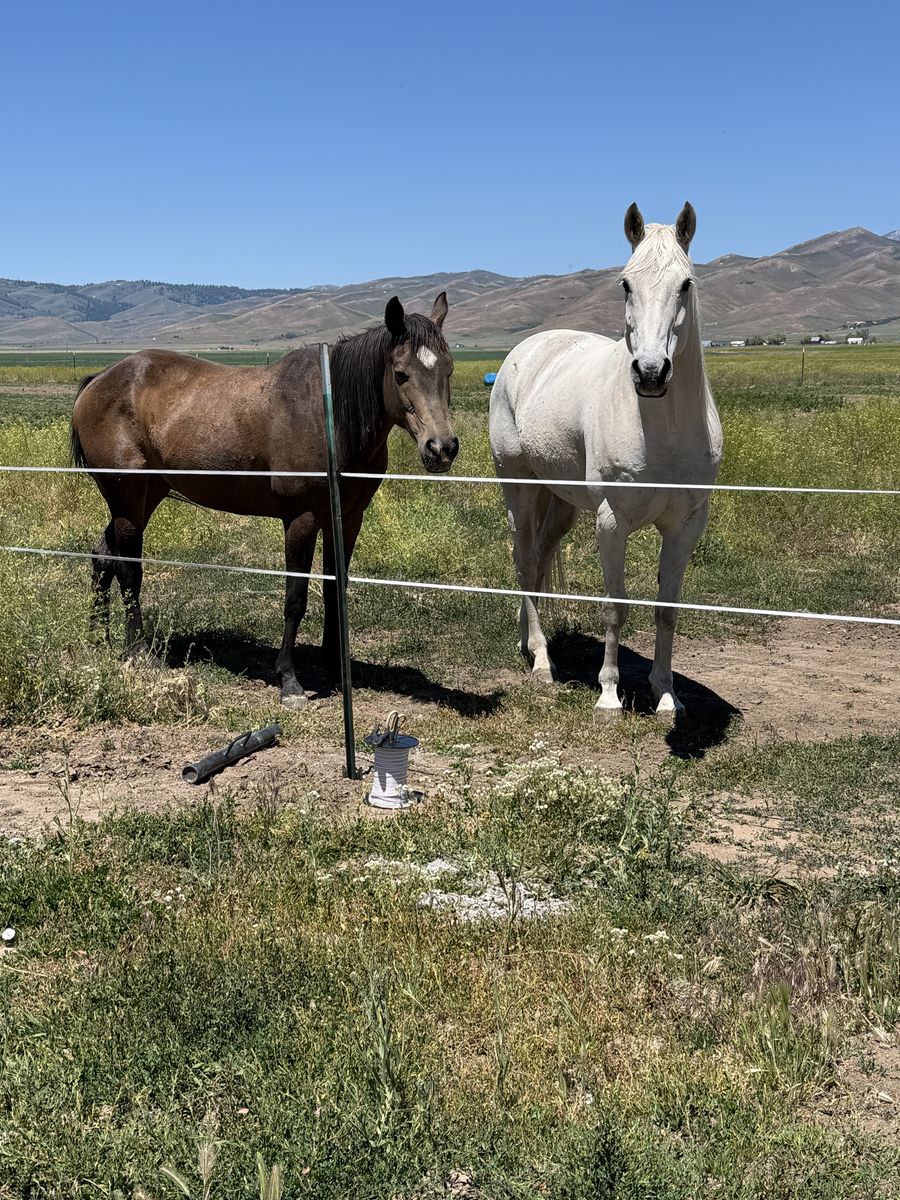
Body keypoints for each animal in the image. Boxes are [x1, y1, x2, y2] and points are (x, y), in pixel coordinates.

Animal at [70, 293, 458, 708]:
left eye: (449, 370)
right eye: (401, 374)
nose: (441, 448)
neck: (329, 416)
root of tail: (100, 379)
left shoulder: (348, 518)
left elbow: (334, 588)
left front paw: (335, 664)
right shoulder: (302, 518)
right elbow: (295, 597)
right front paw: (290, 680)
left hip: (144, 497)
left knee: (102, 557)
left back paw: (98, 639)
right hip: (126, 496)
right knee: (128, 571)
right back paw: (139, 653)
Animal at [489, 203, 723, 718]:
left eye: (686, 284)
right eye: (625, 284)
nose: (651, 373)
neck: (661, 433)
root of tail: (524, 350)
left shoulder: (687, 525)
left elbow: (667, 607)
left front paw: (666, 693)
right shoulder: (612, 521)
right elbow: (615, 606)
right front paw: (610, 694)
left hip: (560, 502)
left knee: (538, 563)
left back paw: (526, 642)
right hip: (518, 488)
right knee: (523, 561)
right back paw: (541, 661)